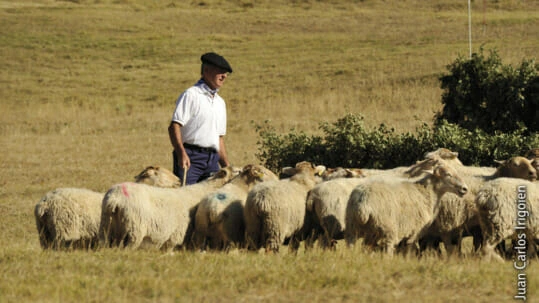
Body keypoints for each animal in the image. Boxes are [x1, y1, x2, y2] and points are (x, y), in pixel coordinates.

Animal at [99, 167, 238, 251]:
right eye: (237, 171)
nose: (178, 180)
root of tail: (115, 198)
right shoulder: (176, 236)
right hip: (133, 232)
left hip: (106, 229)